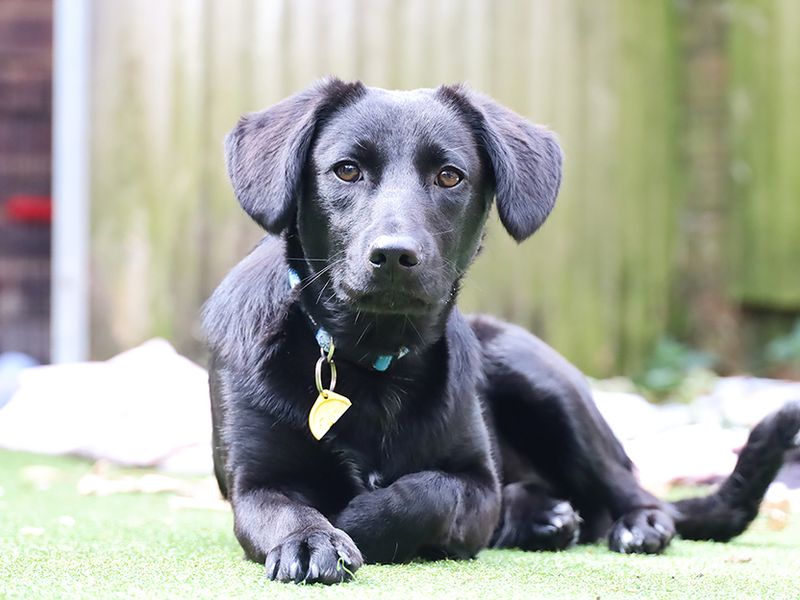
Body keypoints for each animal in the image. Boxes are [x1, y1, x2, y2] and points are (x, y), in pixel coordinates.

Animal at [202, 77, 800, 584]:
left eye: (449, 176)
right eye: (346, 170)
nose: (395, 255)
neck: (370, 362)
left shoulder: (476, 482)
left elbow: (427, 494)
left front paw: (357, 518)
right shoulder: (255, 483)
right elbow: (286, 509)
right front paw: (312, 537)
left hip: (541, 380)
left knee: (630, 487)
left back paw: (636, 523)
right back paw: (547, 518)